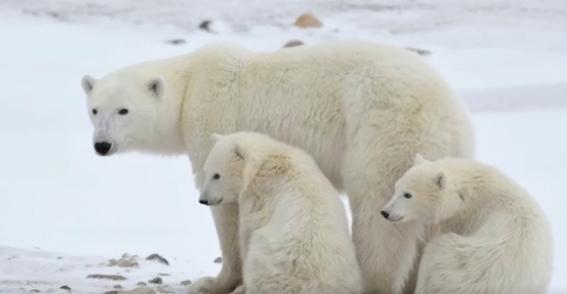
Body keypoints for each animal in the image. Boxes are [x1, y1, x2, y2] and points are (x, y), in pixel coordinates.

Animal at [82, 41, 474, 294]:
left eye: (123, 110)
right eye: (94, 109)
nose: (101, 145)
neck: (189, 84)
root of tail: (447, 114)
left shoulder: (212, 120)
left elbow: (228, 209)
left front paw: (214, 282)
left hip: (384, 133)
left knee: (379, 217)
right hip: (444, 155)